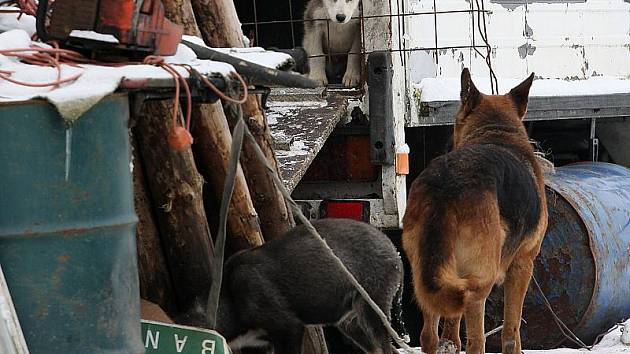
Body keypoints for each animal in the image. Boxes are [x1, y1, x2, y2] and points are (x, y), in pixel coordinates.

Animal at [215, 218, 408, 354]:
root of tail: (396, 253)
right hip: (351, 320)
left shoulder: (287, 327)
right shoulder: (264, 342)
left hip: (372, 304)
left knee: (385, 348)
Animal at [404, 68, 548, 352]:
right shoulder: (522, 265)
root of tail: (446, 185)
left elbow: (451, 331)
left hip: (425, 275)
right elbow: (512, 332)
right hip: (480, 282)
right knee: (476, 340)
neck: (496, 132)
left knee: (430, 335)